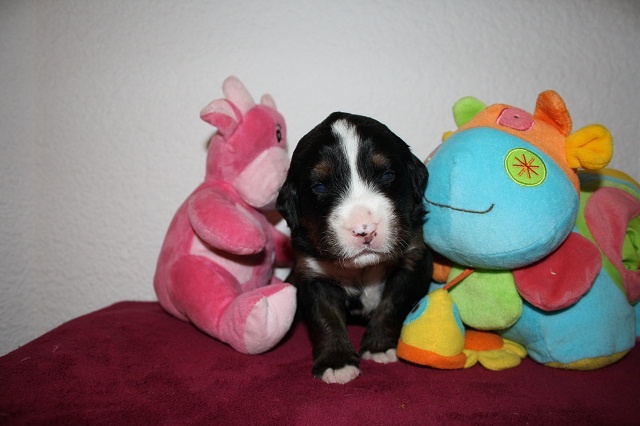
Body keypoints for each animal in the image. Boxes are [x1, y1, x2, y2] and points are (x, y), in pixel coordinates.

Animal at [276, 112, 432, 384]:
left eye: (387, 175)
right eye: (320, 187)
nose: (364, 230)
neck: (361, 268)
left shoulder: (413, 260)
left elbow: (392, 306)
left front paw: (379, 348)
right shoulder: (313, 274)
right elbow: (326, 318)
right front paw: (336, 363)